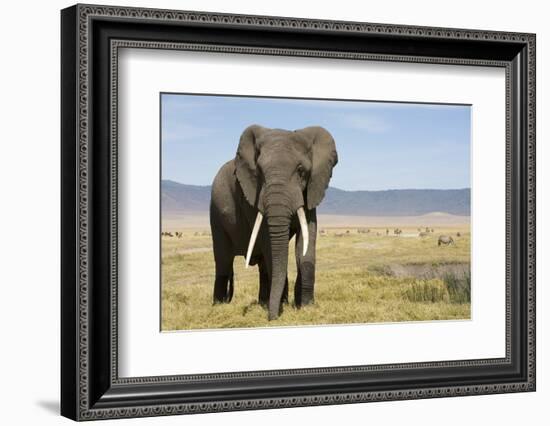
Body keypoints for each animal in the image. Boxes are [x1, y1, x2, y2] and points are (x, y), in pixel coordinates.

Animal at [210, 125, 338, 320]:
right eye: (260, 172)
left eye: (301, 170)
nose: (272, 318)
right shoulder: (252, 196)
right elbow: (268, 243)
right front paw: (282, 307)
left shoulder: (311, 190)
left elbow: (307, 240)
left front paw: (305, 306)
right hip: (216, 215)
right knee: (223, 261)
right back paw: (219, 306)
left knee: (261, 265)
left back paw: (264, 302)